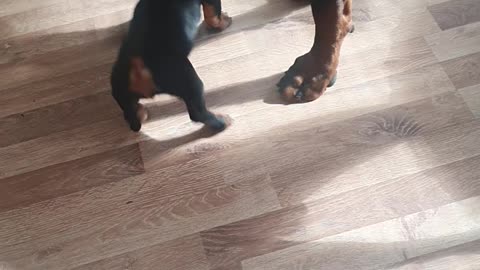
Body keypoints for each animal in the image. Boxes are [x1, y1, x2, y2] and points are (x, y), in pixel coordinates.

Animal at [111, 0, 352, 132]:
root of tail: (137, 66)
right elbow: (213, 13)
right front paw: (223, 22)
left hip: (120, 88)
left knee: (129, 110)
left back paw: (140, 113)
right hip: (188, 80)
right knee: (197, 112)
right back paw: (220, 122)